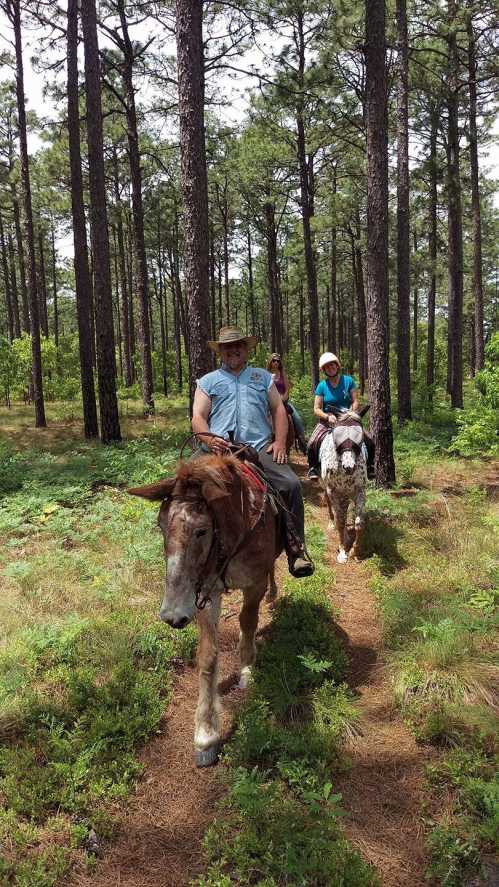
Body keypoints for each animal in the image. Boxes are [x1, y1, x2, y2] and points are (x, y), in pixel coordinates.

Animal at [129, 454, 280, 768]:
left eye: (201, 530)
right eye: (161, 526)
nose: (173, 616)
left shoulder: (254, 584)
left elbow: (249, 620)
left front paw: (246, 668)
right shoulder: (206, 594)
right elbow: (208, 657)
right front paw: (206, 734)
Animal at [320, 412, 368, 564]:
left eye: (360, 437)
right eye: (337, 436)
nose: (349, 467)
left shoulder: (360, 491)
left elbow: (359, 523)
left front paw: (355, 552)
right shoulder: (333, 492)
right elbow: (340, 522)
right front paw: (342, 552)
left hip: (346, 494)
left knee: (344, 511)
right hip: (328, 488)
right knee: (333, 510)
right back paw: (332, 525)